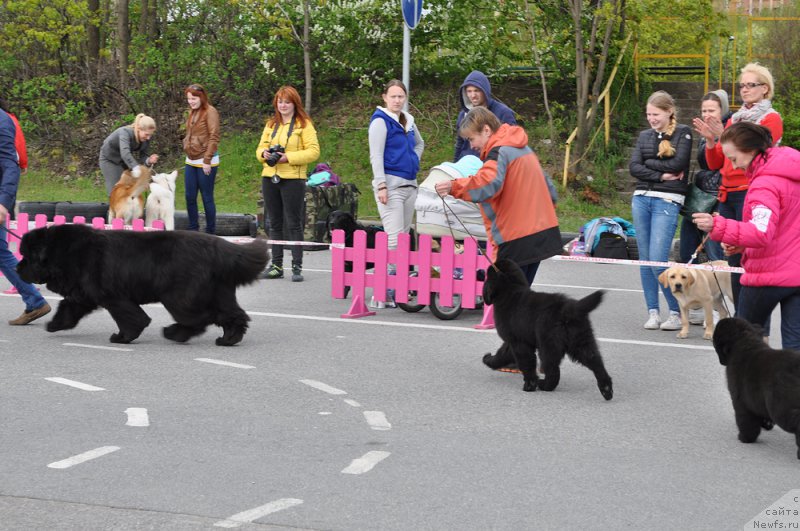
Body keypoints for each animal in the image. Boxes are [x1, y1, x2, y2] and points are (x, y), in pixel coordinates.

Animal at [17, 225, 268, 348]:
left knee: (199, 318)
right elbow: (68, 309)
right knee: (233, 316)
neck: (65, 252)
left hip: (179, 297)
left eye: (28, 257)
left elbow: (131, 318)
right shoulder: (83, 294)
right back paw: (229, 339)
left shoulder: (114, 297)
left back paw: (174, 333)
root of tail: (219, 247)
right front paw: (54, 325)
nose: (18, 268)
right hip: (220, 292)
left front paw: (121, 338)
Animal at [482, 260, 612, 402]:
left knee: (553, 371)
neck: (511, 292)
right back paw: (606, 389)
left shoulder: (518, 342)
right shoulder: (516, 340)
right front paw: (489, 360)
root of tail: (568, 308)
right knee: (596, 362)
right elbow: (503, 354)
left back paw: (544, 385)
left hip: (548, 344)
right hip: (581, 341)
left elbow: (526, 363)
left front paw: (530, 385)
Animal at [712, 318, 800, 460]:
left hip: (780, 407)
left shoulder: (740, 401)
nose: (721, 362)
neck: (745, 341)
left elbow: (746, 422)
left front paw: (745, 438)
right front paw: (766, 424)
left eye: (715, 344)